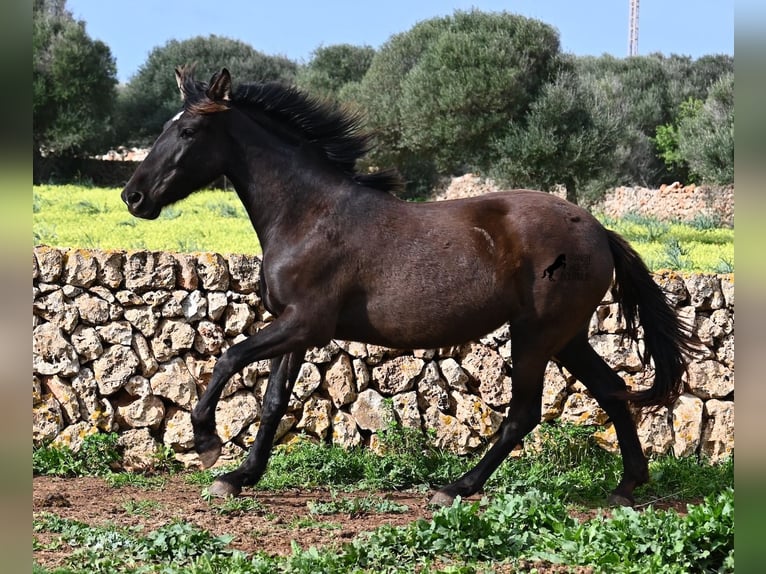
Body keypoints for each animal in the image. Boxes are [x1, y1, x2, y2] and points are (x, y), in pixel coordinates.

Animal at [121, 67, 696, 508]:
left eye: (188, 132)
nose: (133, 196)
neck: (308, 215)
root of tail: (598, 230)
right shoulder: (295, 328)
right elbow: (273, 401)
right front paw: (239, 476)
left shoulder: (306, 322)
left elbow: (228, 359)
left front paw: (207, 442)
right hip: (566, 336)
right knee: (612, 389)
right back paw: (627, 486)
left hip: (535, 335)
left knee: (524, 414)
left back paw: (455, 487)